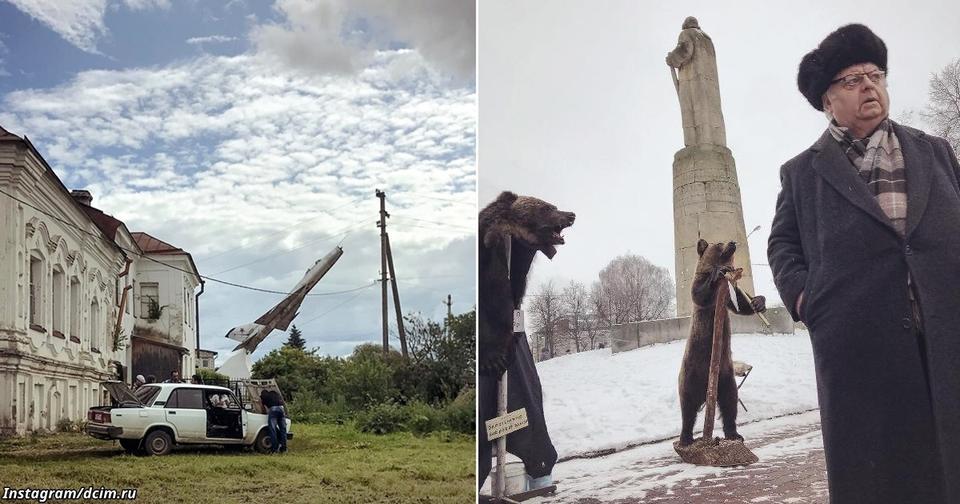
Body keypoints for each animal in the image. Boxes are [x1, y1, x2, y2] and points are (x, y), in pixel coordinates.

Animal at [680, 239, 768, 444]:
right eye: (719, 243)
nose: (733, 242)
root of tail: (707, 392)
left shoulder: (729, 293)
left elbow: (741, 305)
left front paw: (758, 302)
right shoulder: (702, 285)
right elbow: (699, 294)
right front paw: (717, 272)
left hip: (725, 377)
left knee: (730, 403)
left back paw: (734, 434)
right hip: (690, 375)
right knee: (688, 409)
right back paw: (686, 438)